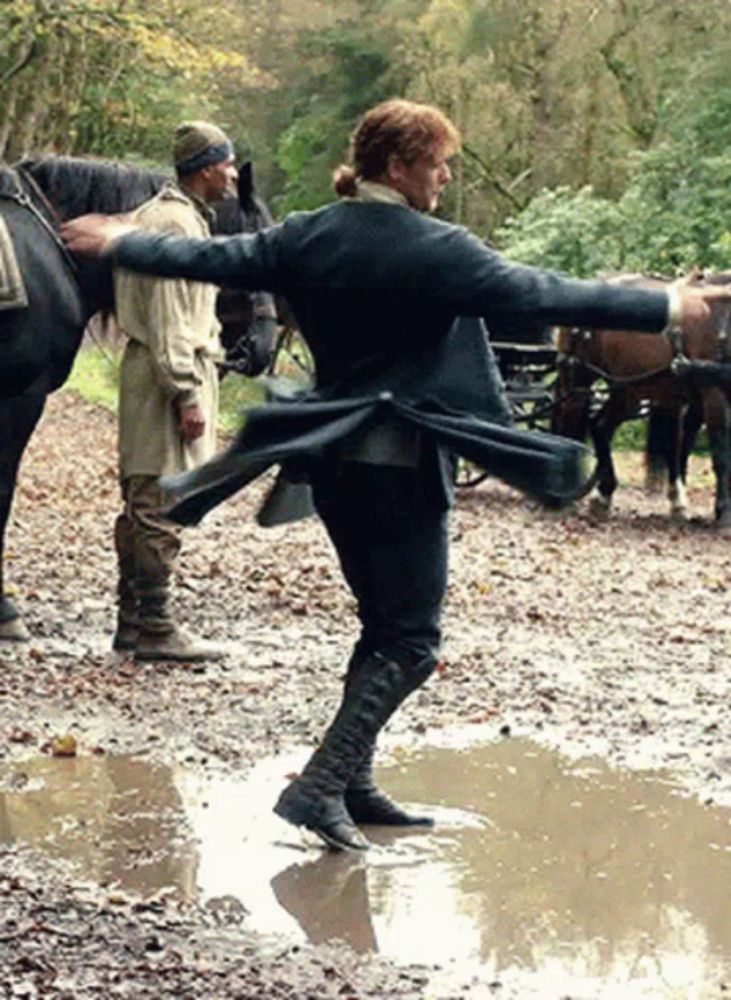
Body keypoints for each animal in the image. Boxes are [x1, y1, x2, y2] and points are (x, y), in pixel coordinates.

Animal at [556, 270, 731, 528]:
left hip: (629, 389)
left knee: (600, 426)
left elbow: (680, 448)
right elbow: (721, 456)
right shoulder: (713, 396)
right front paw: (723, 512)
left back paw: (605, 494)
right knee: (571, 422)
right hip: (579, 380)